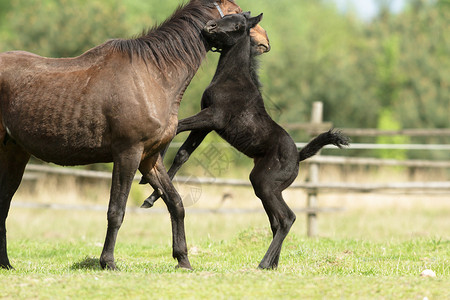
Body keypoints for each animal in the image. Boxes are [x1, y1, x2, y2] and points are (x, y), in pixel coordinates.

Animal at [0, 0, 268, 270]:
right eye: (238, 13)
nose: (265, 40)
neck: (152, 76)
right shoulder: (128, 154)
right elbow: (116, 210)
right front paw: (108, 262)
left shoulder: (149, 159)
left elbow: (175, 203)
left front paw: (183, 259)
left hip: (15, 154)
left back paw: (6, 264)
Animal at [142, 12, 350, 270]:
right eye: (226, 16)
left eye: (239, 25)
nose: (209, 26)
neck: (232, 79)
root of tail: (299, 157)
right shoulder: (207, 124)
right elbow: (183, 153)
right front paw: (150, 196)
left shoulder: (213, 117)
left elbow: (177, 127)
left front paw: (147, 175)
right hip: (267, 188)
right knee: (276, 222)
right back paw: (272, 265)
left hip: (265, 184)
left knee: (287, 218)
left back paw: (263, 264)